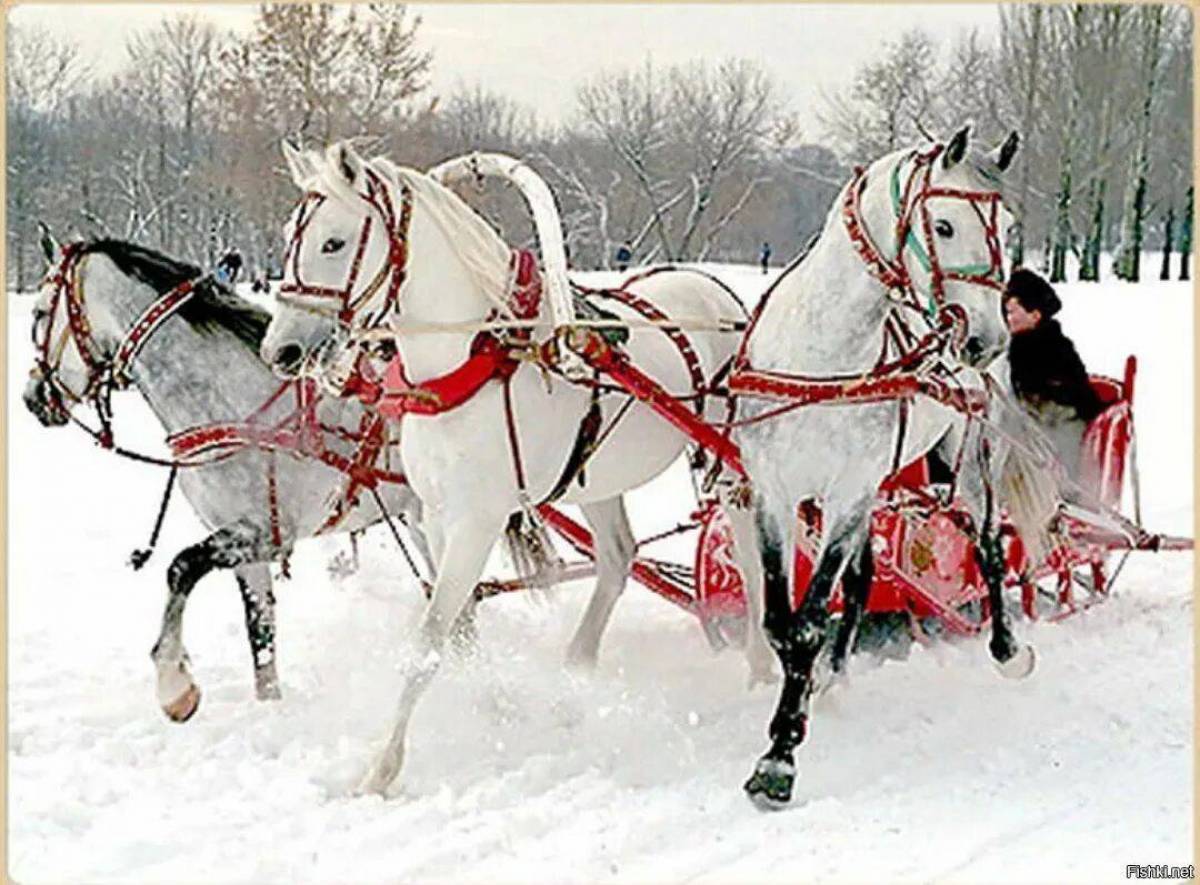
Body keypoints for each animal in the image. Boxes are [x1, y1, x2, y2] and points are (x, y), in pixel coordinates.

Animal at [22, 235, 432, 724]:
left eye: (38, 314)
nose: (32, 398)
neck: (240, 407)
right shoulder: (245, 548)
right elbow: (261, 637)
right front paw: (270, 709)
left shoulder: (264, 535)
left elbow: (180, 567)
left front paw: (174, 685)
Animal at [261, 141, 768, 791]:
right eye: (288, 236)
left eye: (333, 242)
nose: (280, 351)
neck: (467, 362)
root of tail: (717, 293)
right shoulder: (434, 515)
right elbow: (457, 626)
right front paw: (496, 702)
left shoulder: (477, 521)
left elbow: (429, 638)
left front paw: (383, 765)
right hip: (597, 479)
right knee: (617, 559)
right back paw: (576, 669)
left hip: (726, 459)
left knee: (748, 557)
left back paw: (760, 664)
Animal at [729, 124, 1032, 805]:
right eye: (943, 225)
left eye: (1009, 228)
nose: (987, 340)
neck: (824, 361)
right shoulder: (776, 492)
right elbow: (783, 620)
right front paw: (794, 713)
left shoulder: (848, 493)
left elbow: (810, 620)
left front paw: (780, 756)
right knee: (865, 576)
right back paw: (836, 677)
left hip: (969, 458)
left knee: (989, 547)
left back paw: (1006, 647)